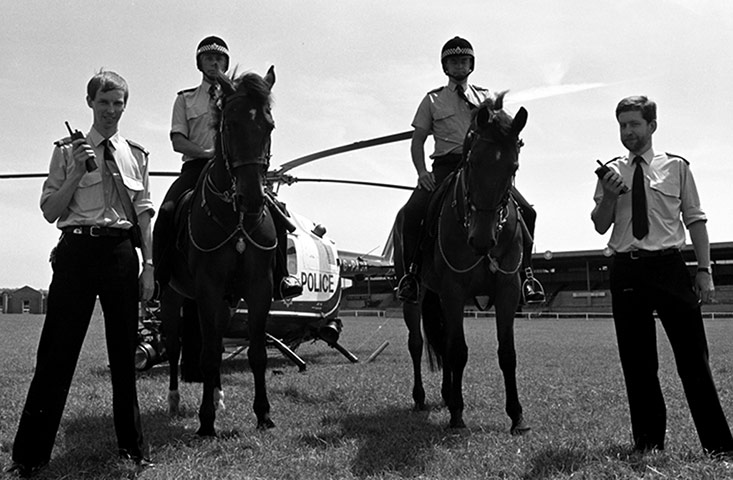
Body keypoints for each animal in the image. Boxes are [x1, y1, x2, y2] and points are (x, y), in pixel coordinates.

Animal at [158, 67, 278, 436]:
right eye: (230, 125)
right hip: (172, 297)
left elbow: (256, 353)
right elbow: (208, 354)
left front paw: (263, 414)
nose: (251, 199)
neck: (235, 218)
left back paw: (219, 394)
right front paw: (206, 421)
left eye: (268, 126)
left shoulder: (258, 288)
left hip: (227, 302)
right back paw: (175, 401)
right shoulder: (207, 288)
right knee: (175, 346)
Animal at [394, 92, 532, 434]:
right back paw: (421, 397)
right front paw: (458, 414)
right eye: (471, 163)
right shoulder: (454, 290)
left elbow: (506, 352)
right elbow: (458, 350)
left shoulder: (508, 290)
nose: (482, 240)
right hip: (415, 296)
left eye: (513, 166)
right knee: (417, 343)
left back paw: (446, 394)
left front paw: (517, 416)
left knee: (442, 340)